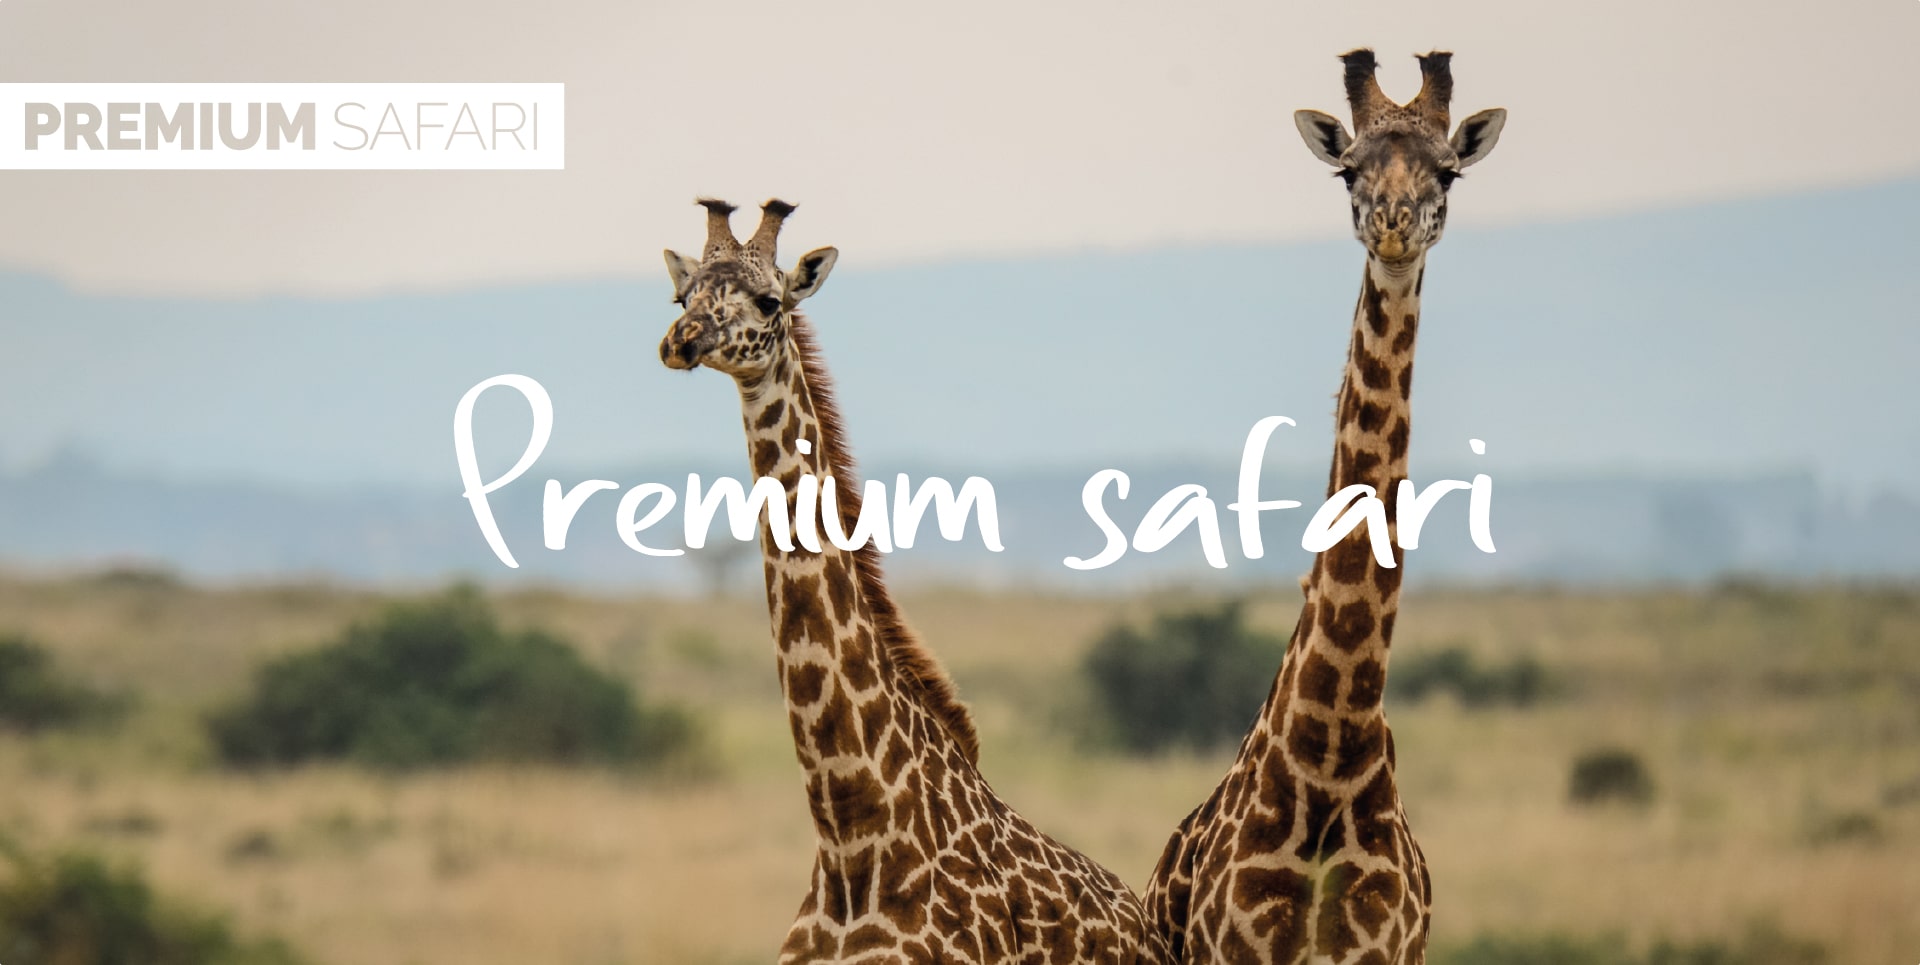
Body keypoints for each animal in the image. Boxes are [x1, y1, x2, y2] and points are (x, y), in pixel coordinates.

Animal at [1141, 50, 1506, 964]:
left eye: (1448, 170)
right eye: (1349, 170)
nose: (1394, 225)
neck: (1332, 754)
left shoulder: (1385, 950)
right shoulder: (1235, 949)